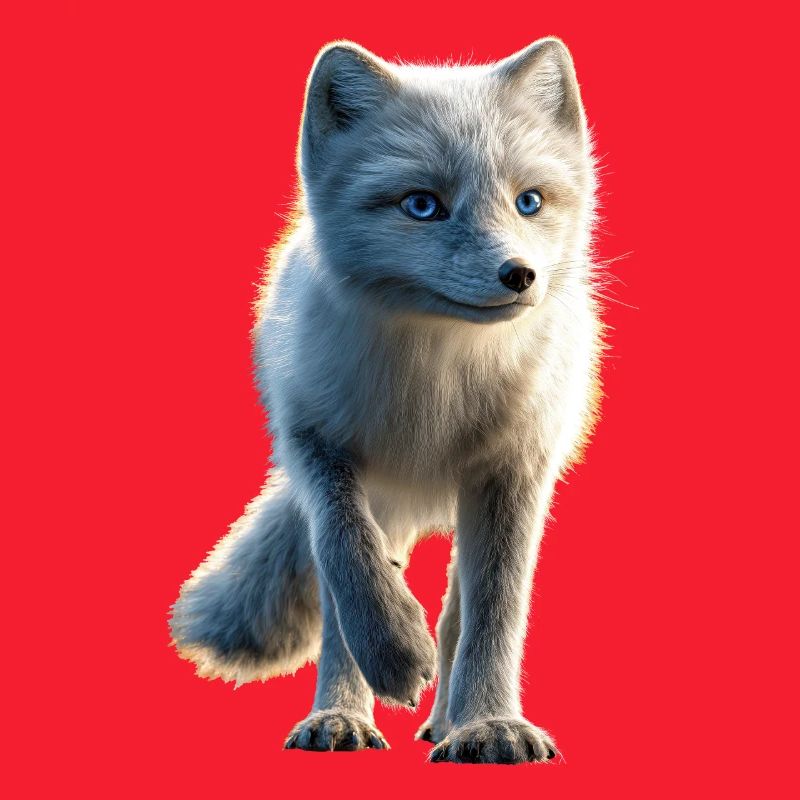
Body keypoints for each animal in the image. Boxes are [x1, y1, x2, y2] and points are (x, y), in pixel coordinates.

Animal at [170, 37, 602, 764]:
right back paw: (351, 713)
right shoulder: (317, 445)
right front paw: (389, 659)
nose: (520, 275)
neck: (433, 382)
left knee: (459, 605)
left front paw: (491, 725)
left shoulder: (515, 468)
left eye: (530, 202)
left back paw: (450, 721)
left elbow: (495, 610)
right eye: (421, 206)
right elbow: (349, 564)